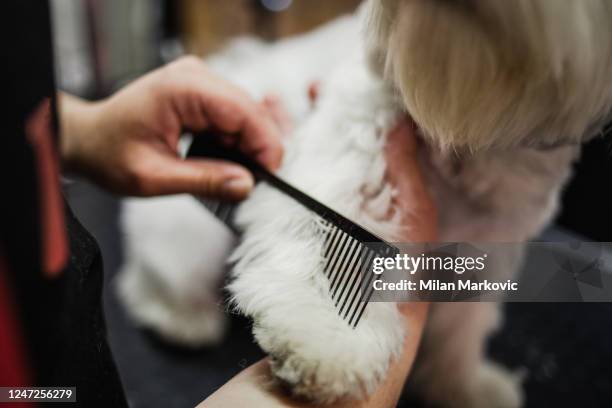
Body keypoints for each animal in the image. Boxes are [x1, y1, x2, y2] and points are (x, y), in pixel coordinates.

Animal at [118, 1, 612, 406]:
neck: (462, 124)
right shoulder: (354, 146)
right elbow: (327, 250)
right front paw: (328, 337)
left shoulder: (490, 243)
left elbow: (461, 328)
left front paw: (461, 388)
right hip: (189, 238)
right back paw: (181, 316)